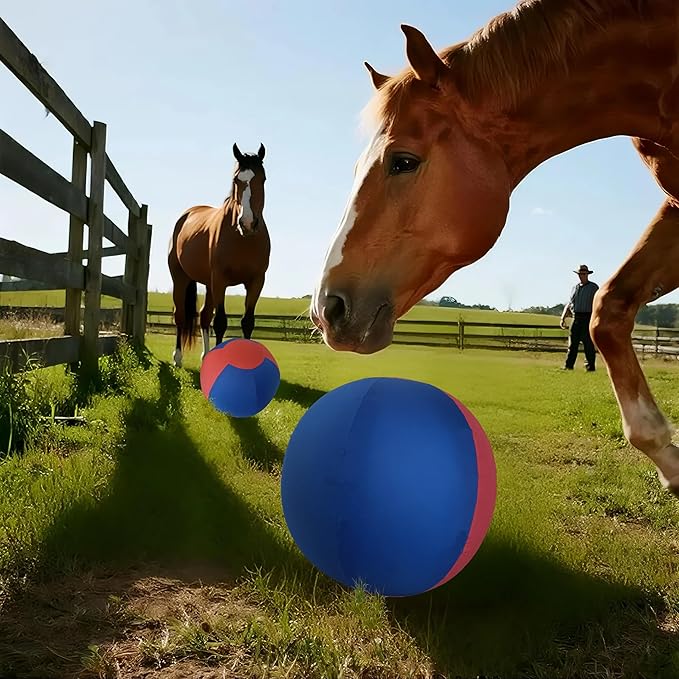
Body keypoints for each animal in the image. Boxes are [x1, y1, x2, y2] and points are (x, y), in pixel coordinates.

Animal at [168, 142, 270, 367]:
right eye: (236, 180)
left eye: (263, 179)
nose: (247, 223)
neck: (242, 239)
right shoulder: (220, 279)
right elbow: (221, 322)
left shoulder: (256, 281)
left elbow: (247, 322)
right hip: (181, 278)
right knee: (181, 316)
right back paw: (178, 358)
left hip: (208, 284)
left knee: (204, 316)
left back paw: (206, 356)